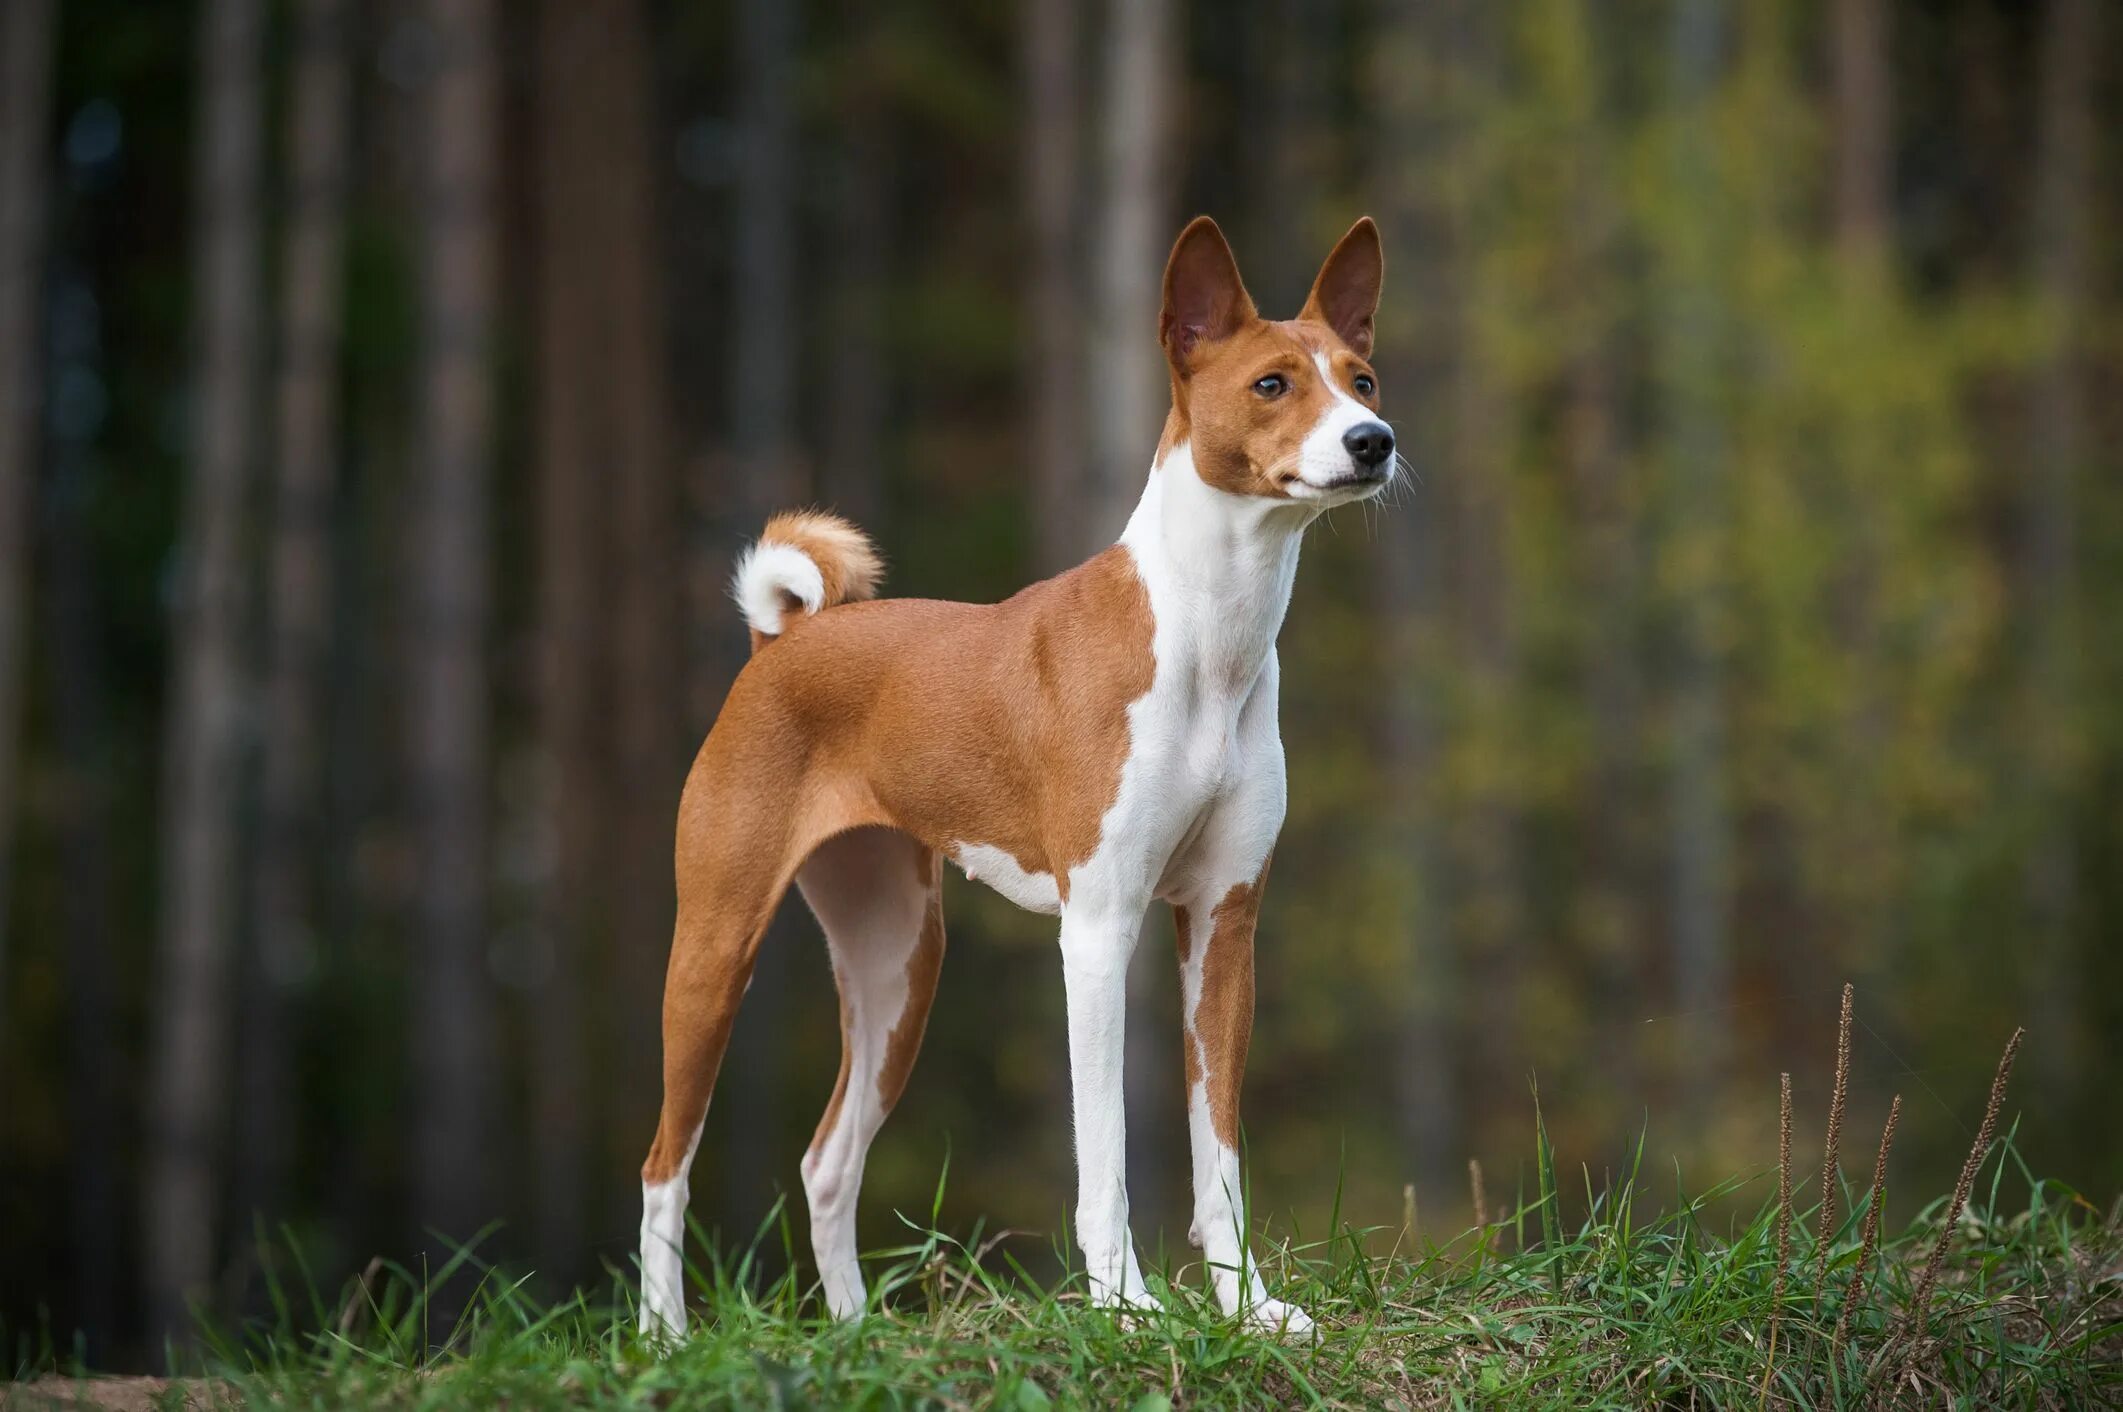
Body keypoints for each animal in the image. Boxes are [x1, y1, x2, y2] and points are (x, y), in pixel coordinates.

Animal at [636, 214, 1401, 1341]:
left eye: (1362, 379)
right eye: (1271, 384)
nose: (1372, 441)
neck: (1208, 639)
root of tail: (783, 638)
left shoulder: (1224, 927)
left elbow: (1217, 1155)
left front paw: (1249, 1307)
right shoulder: (1097, 930)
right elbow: (1105, 1158)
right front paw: (1125, 1305)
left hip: (897, 967)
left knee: (826, 1160)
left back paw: (860, 1332)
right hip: (713, 949)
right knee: (664, 1163)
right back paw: (662, 1338)